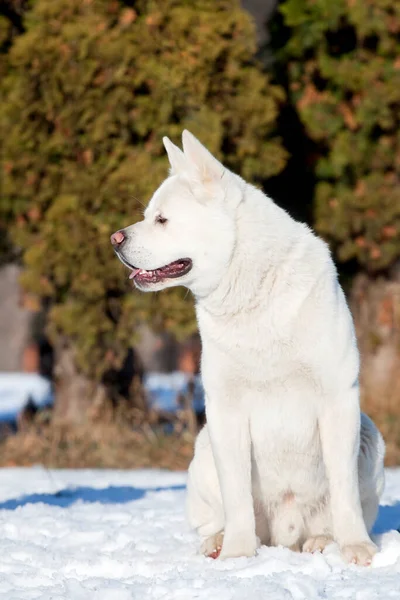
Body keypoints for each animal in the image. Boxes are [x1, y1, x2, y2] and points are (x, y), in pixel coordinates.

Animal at [111, 131, 386, 568]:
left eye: (162, 220)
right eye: (149, 215)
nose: (114, 239)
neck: (253, 296)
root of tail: (286, 534)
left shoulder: (338, 399)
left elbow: (343, 491)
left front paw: (358, 549)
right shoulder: (226, 410)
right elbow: (236, 495)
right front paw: (238, 556)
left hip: (369, 434)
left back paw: (322, 541)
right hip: (203, 448)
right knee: (217, 518)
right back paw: (217, 543)